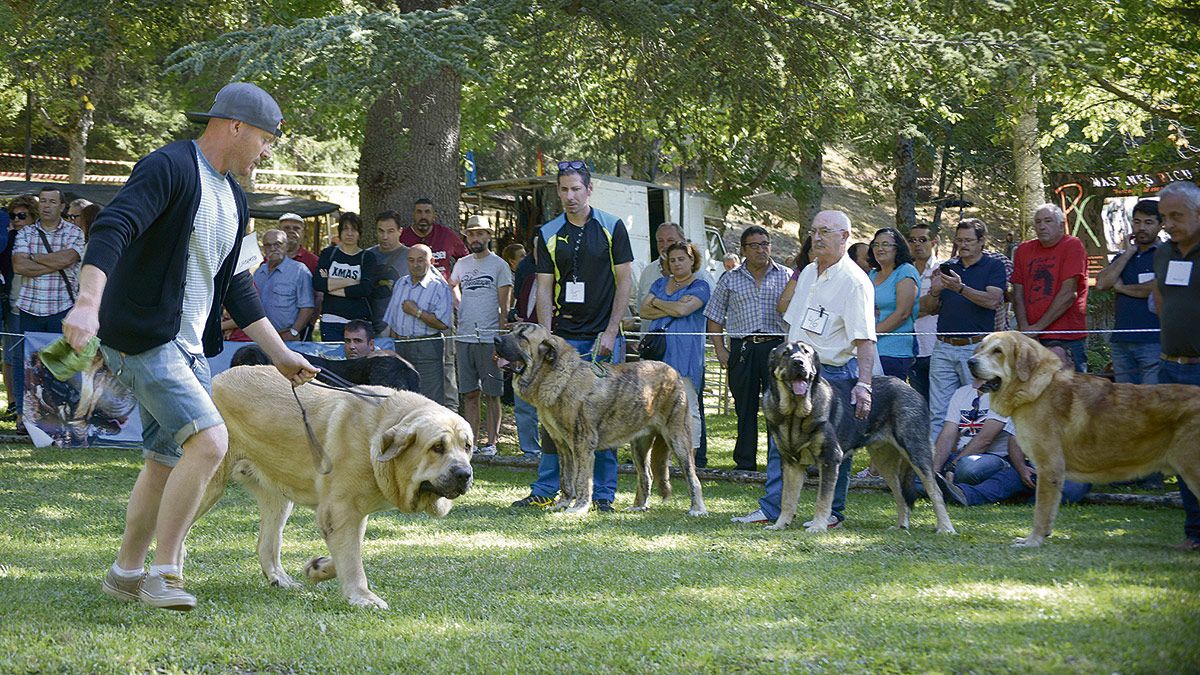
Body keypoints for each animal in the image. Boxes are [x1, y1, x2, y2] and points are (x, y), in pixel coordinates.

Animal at [494, 319, 705, 514]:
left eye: (522, 336)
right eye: (511, 330)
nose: (496, 339)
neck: (553, 375)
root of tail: (674, 372)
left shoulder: (582, 444)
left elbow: (581, 479)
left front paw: (578, 508)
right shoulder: (562, 445)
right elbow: (565, 478)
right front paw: (562, 504)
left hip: (678, 438)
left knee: (692, 476)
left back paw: (697, 509)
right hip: (639, 444)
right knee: (646, 475)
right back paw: (638, 506)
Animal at [763, 341, 950, 530]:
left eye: (806, 352)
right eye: (785, 354)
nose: (799, 362)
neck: (794, 414)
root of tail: (909, 388)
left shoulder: (830, 458)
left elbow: (823, 499)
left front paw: (818, 526)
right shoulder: (792, 464)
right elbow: (787, 500)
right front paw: (779, 525)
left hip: (916, 452)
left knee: (935, 491)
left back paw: (945, 528)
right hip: (885, 462)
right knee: (900, 494)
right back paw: (901, 527)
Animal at [964, 331, 1200, 547]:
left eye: (998, 351)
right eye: (981, 347)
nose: (970, 361)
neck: (1040, 387)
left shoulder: (1049, 468)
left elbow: (1041, 511)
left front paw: (1032, 541)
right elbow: (1048, 512)